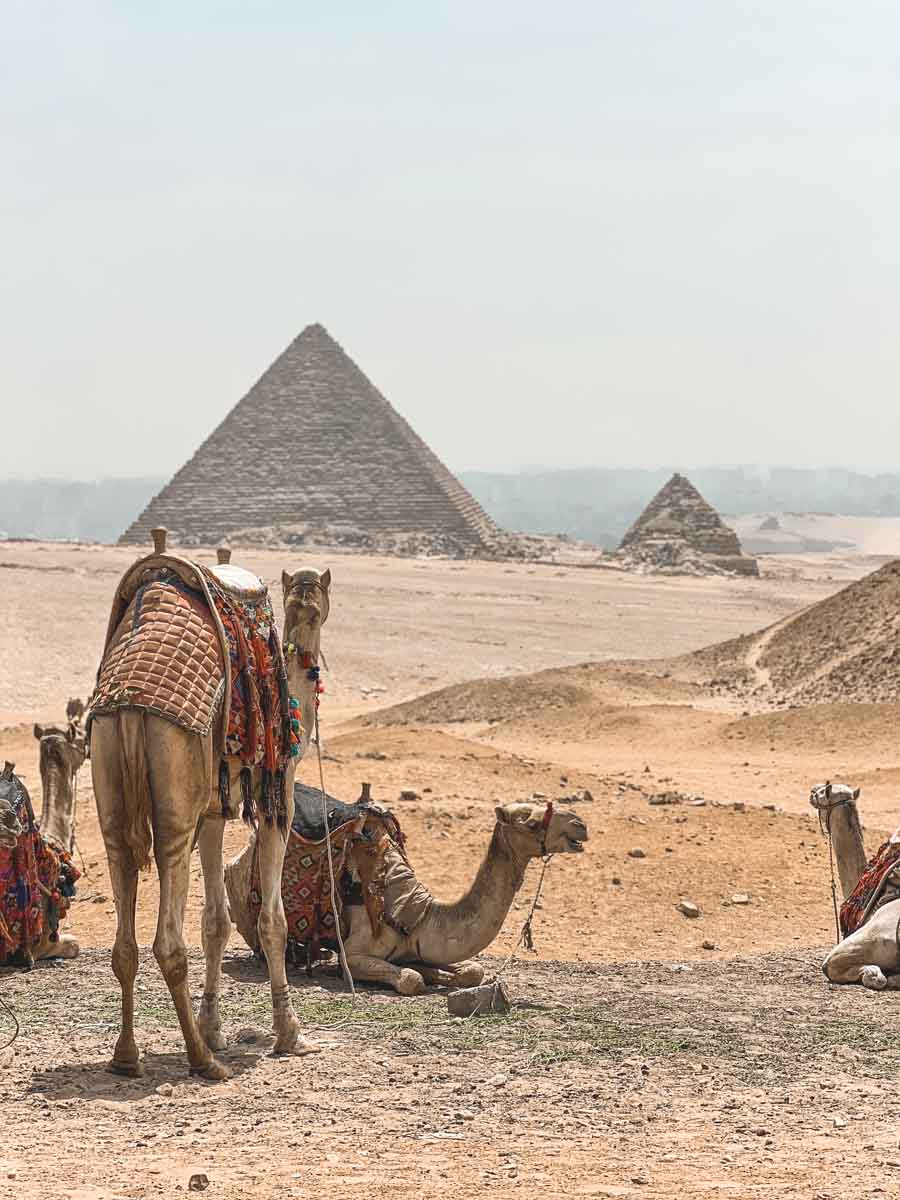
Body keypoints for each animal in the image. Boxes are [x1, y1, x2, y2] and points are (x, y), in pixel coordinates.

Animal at [90, 535, 331, 1080]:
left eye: (316, 605)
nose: (308, 654)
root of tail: (129, 703)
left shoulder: (214, 812)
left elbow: (216, 923)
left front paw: (214, 1027)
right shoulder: (276, 796)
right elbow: (273, 921)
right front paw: (290, 1034)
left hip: (110, 785)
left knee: (125, 942)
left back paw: (127, 1056)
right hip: (174, 805)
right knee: (167, 941)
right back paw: (201, 1061)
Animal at [225, 796, 592, 993]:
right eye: (529, 822)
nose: (580, 825)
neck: (418, 914)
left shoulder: (419, 947)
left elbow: (470, 971)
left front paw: (440, 974)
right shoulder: (355, 952)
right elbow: (411, 979)